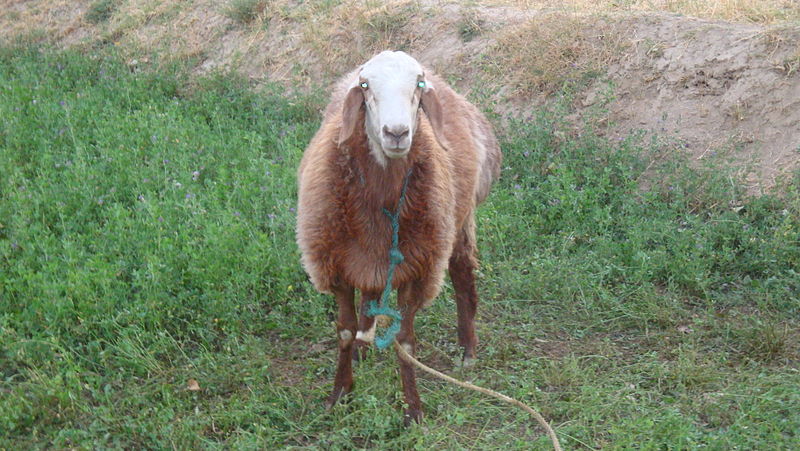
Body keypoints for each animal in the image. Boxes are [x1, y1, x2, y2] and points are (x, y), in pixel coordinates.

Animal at [296, 51, 500, 426]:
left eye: (418, 85)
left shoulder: (419, 269)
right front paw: (339, 394)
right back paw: (363, 347)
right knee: (369, 300)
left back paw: (467, 349)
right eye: (364, 86)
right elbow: (344, 331)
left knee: (463, 274)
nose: (396, 133)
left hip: (458, 221)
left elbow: (406, 344)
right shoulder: (334, 265)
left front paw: (413, 410)